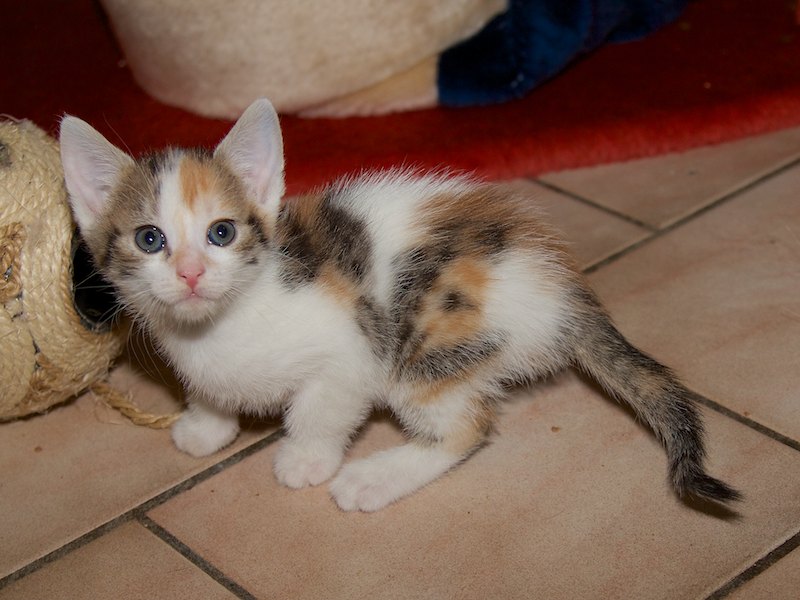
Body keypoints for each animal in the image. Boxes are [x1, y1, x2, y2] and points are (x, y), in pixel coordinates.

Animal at [59, 98, 740, 512]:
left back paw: (375, 477)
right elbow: (210, 389)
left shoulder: (349, 355)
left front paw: (305, 460)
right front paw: (206, 424)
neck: (225, 321)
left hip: (428, 345)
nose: (192, 273)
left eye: (221, 232)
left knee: (468, 426)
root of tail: (560, 289)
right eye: (150, 240)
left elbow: (320, 411)